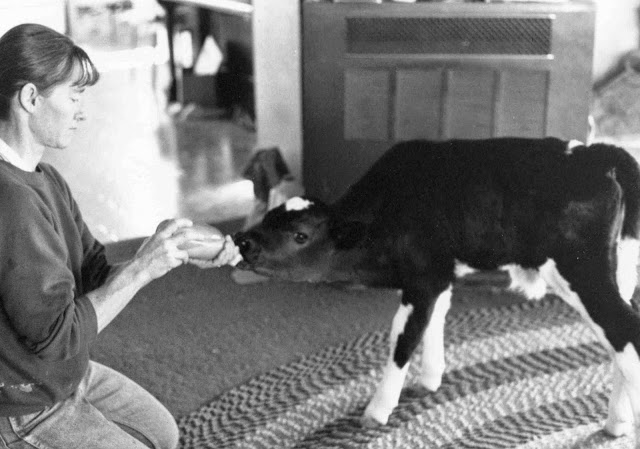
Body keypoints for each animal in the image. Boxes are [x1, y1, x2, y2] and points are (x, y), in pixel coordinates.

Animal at [234, 137, 640, 445]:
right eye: (268, 218)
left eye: (300, 235)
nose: (243, 240)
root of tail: (595, 152)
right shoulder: (441, 276)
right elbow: (435, 322)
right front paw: (430, 380)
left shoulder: (423, 279)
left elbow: (403, 339)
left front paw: (377, 411)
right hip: (618, 269)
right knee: (619, 345)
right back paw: (616, 422)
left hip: (582, 272)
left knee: (625, 333)